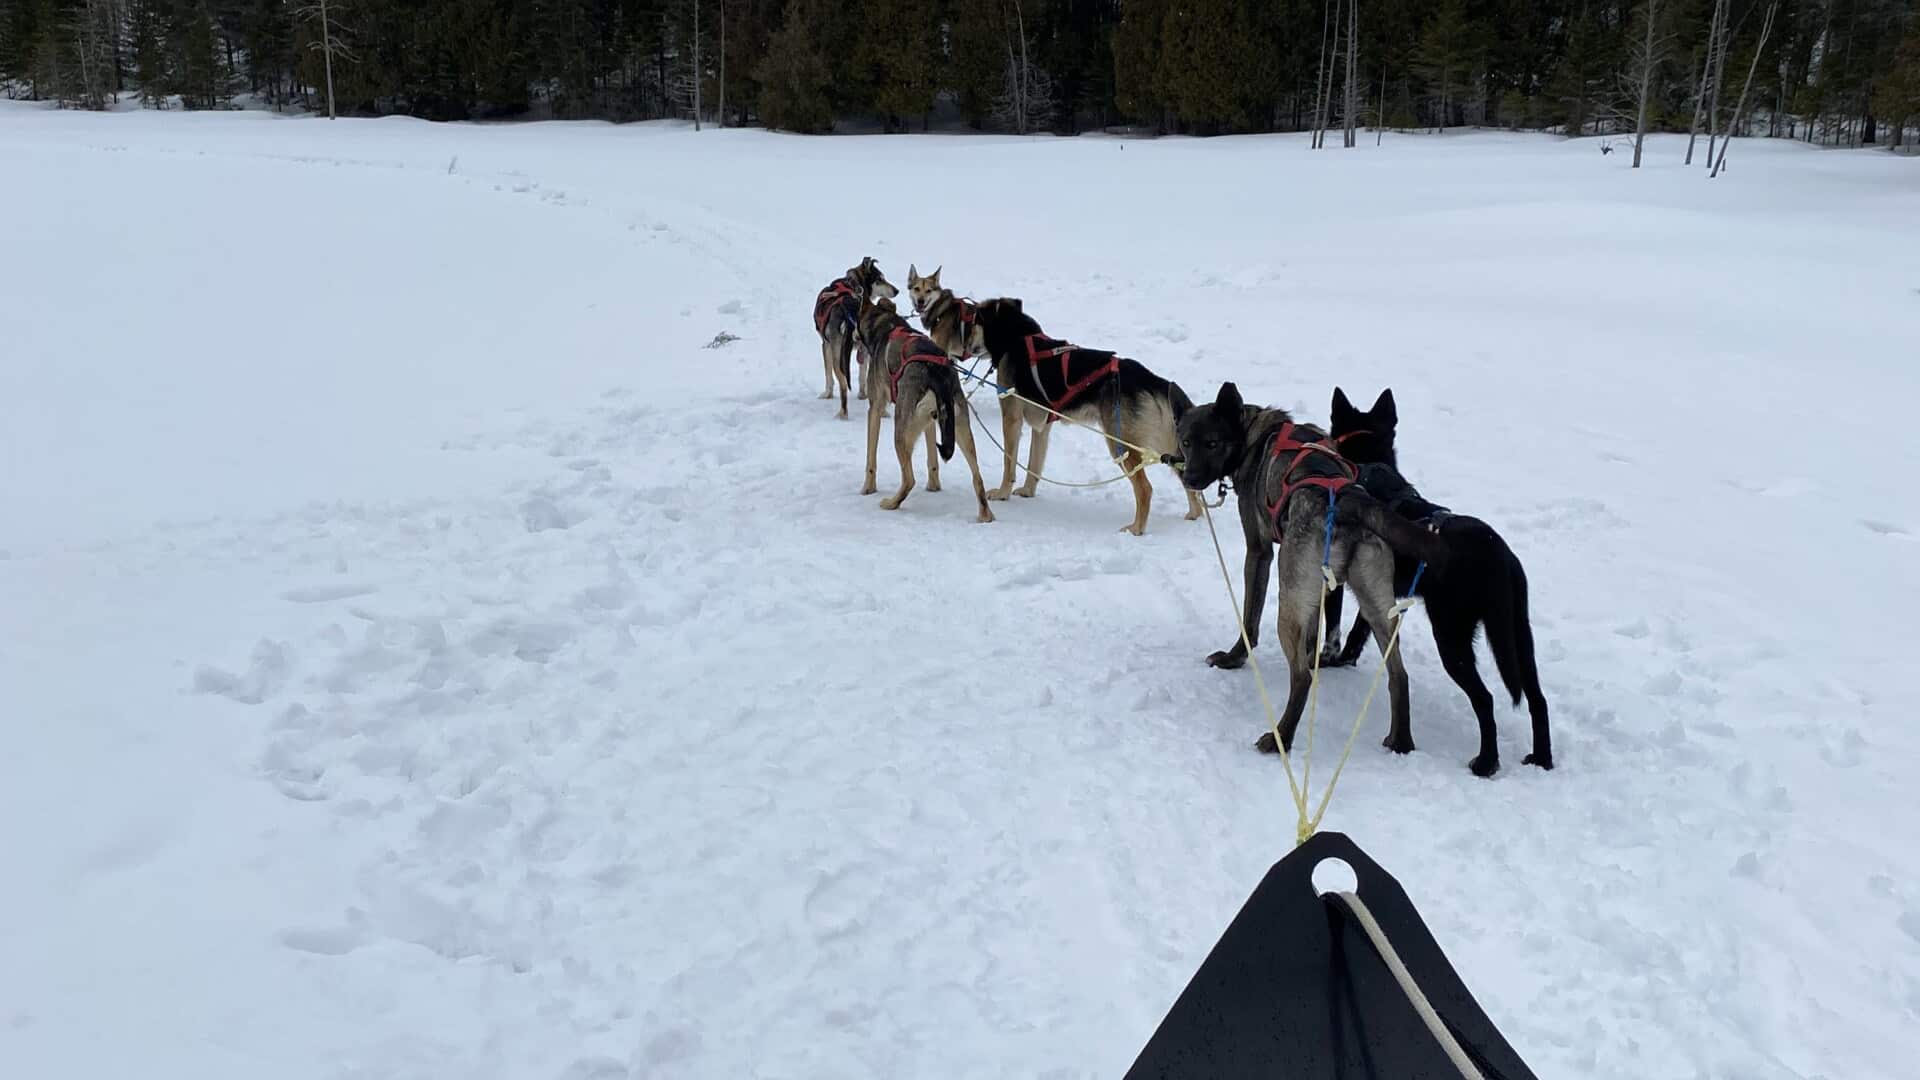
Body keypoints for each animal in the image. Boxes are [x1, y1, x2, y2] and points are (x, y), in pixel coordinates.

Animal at [813, 257, 899, 419]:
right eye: (880, 279)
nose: (897, 290)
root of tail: (850, 312)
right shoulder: (863, 350)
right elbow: (862, 375)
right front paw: (862, 395)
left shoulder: (825, 345)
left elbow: (828, 375)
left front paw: (827, 394)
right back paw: (883, 411)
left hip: (839, 359)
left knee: (843, 388)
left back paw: (842, 414)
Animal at [853, 296, 994, 523]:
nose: (854, 338)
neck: (886, 325)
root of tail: (937, 372)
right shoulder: (931, 421)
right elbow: (933, 460)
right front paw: (934, 486)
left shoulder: (875, 408)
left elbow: (870, 458)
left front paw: (868, 488)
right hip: (960, 428)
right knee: (977, 477)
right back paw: (985, 515)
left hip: (901, 431)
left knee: (909, 479)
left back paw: (892, 503)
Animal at [924, 295, 1203, 536]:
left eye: (973, 325)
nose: (963, 350)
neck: (1017, 338)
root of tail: (1151, 379)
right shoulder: (1042, 426)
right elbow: (1034, 464)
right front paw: (1027, 491)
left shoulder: (1011, 419)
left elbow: (1009, 463)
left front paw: (1004, 492)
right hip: (1170, 444)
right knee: (1188, 481)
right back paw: (1195, 514)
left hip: (1120, 444)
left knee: (1145, 489)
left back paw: (1136, 528)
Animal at [1170, 381, 1449, 757]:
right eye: (1186, 441)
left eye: (1212, 443)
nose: (1190, 477)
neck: (1253, 432)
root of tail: (1348, 501)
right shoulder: (1321, 590)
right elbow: (1317, 634)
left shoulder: (1259, 553)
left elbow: (1249, 621)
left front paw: (1234, 658)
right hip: (1376, 606)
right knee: (1398, 675)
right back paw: (1400, 740)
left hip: (1289, 602)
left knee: (1302, 677)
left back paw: (1280, 738)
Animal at [1324, 387, 1553, 776]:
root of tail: (1498, 558)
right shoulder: (1379, 592)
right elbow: (1358, 632)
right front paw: (1345, 661)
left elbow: (1335, 627)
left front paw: (1328, 662)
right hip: (1518, 634)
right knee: (1537, 698)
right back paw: (1543, 760)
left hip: (1451, 635)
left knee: (1485, 699)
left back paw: (1486, 763)